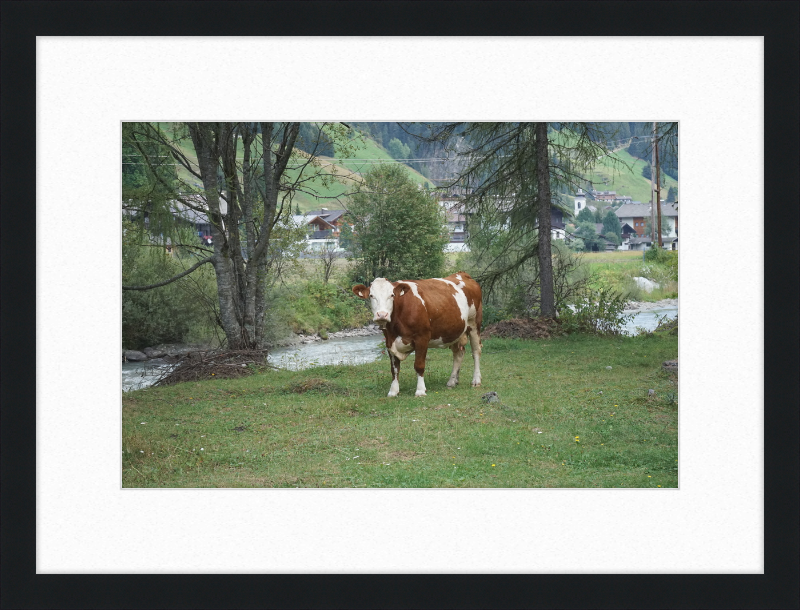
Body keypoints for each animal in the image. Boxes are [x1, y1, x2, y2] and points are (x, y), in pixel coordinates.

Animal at [352, 272, 482, 396]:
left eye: (392, 295)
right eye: (371, 296)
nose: (382, 315)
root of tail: (462, 274)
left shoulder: (422, 338)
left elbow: (419, 365)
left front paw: (420, 390)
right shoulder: (389, 341)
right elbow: (394, 369)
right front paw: (393, 391)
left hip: (474, 324)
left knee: (476, 352)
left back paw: (476, 380)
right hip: (455, 331)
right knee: (458, 354)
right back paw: (452, 381)